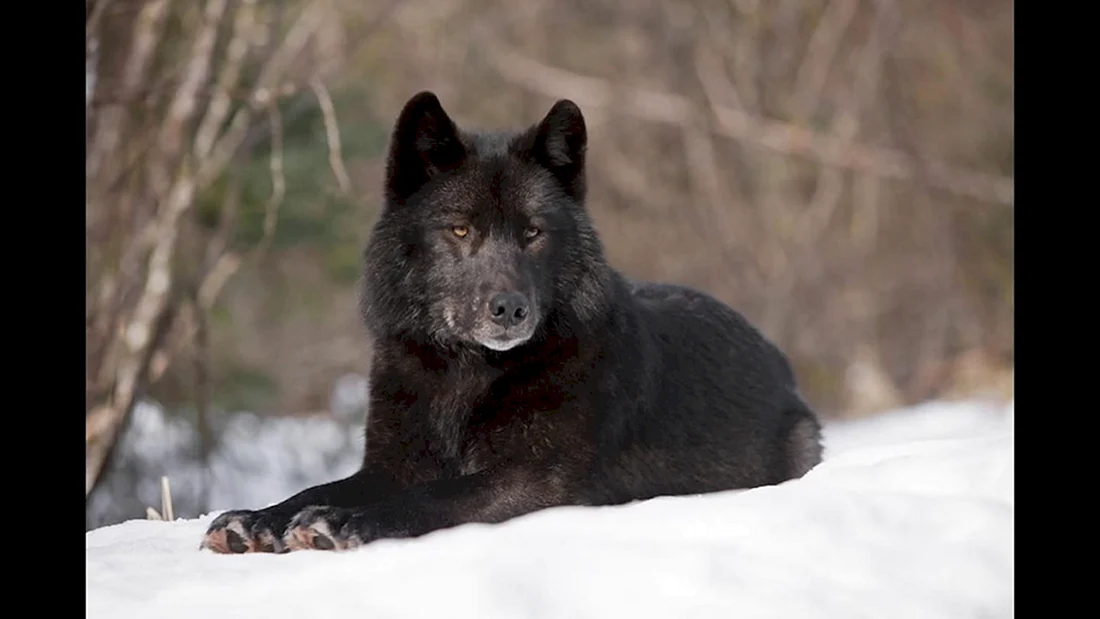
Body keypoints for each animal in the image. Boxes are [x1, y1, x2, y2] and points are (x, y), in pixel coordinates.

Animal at [200, 91, 824, 554]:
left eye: (532, 232)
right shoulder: (391, 464)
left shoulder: (539, 482)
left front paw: (340, 522)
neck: (464, 376)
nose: (509, 309)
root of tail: (777, 356)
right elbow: (318, 486)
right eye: (460, 230)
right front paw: (257, 519)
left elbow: (435, 497)